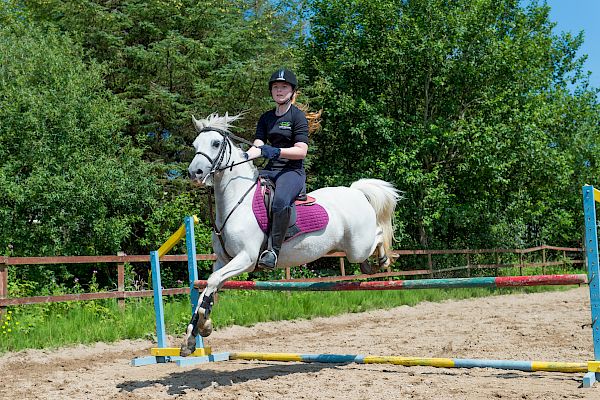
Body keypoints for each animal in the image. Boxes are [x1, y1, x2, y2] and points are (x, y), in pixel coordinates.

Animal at [180, 112, 400, 356]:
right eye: (195, 145)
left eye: (216, 143)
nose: (195, 173)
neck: (237, 201)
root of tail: (356, 192)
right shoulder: (222, 261)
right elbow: (208, 289)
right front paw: (194, 336)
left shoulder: (246, 259)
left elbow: (212, 283)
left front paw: (203, 325)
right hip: (354, 249)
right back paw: (370, 267)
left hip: (358, 246)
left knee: (379, 235)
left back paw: (383, 260)